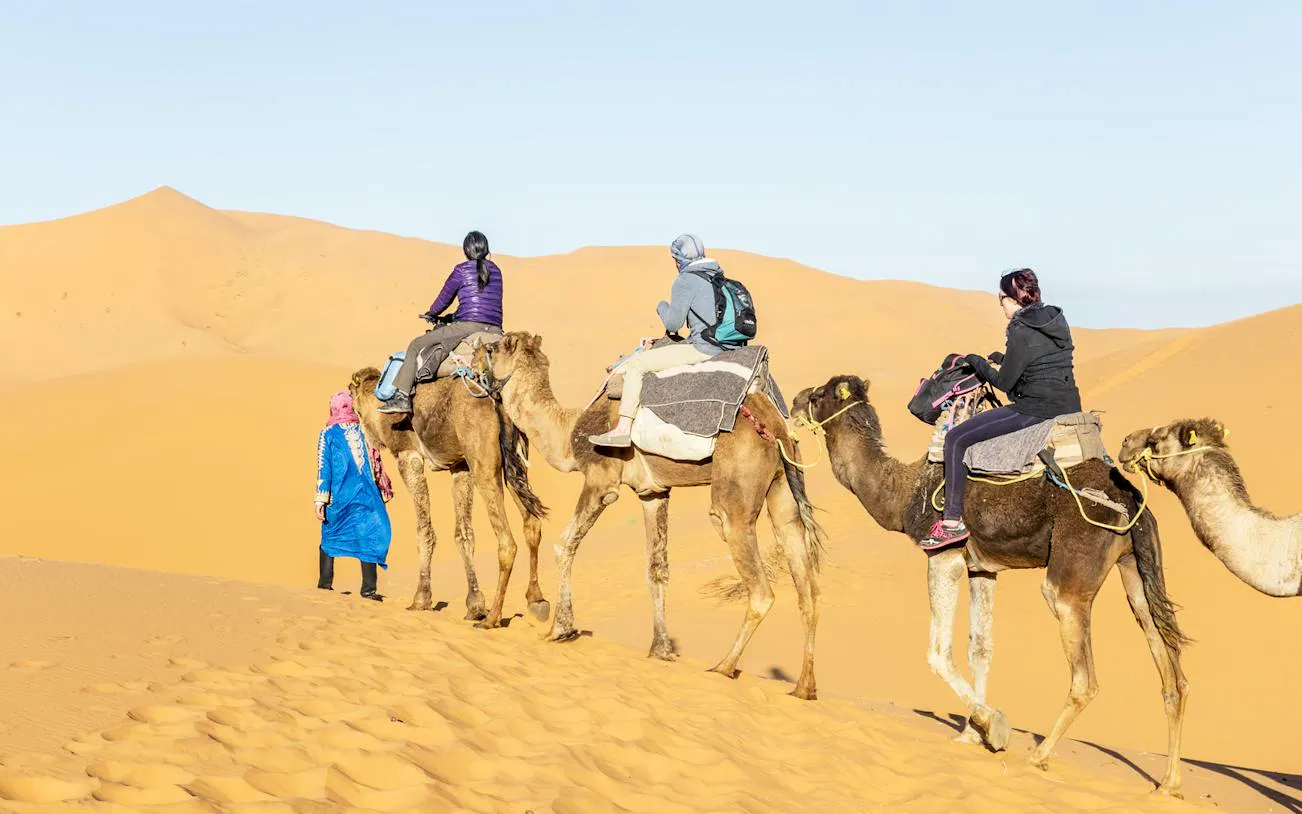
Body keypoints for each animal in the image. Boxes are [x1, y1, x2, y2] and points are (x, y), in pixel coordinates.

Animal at [348, 367, 550, 628]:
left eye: (353, 404)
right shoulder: (460, 466)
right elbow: (464, 535)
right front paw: (475, 605)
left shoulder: (408, 456)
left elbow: (424, 531)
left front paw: (420, 600)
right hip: (514, 462)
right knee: (532, 524)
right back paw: (537, 602)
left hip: (484, 465)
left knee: (507, 542)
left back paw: (491, 619)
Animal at [473, 332, 827, 699]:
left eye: (493, 348)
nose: (473, 359)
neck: (569, 431)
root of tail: (776, 427)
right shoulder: (652, 493)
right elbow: (657, 569)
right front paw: (661, 649)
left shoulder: (601, 480)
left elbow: (565, 544)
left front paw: (560, 628)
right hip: (783, 490)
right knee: (808, 586)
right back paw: (804, 687)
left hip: (736, 493)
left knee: (758, 586)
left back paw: (723, 667)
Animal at [791, 375, 1190, 795]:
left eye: (819, 394)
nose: (796, 400)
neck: (904, 491)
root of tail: (1130, 501)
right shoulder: (982, 568)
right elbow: (980, 649)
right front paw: (971, 732)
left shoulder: (944, 556)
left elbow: (938, 652)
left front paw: (994, 727)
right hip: (1135, 568)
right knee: (1170, 670)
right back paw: (1169, 783)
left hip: (1073, 569)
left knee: (1084, 676)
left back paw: (1040, 755)